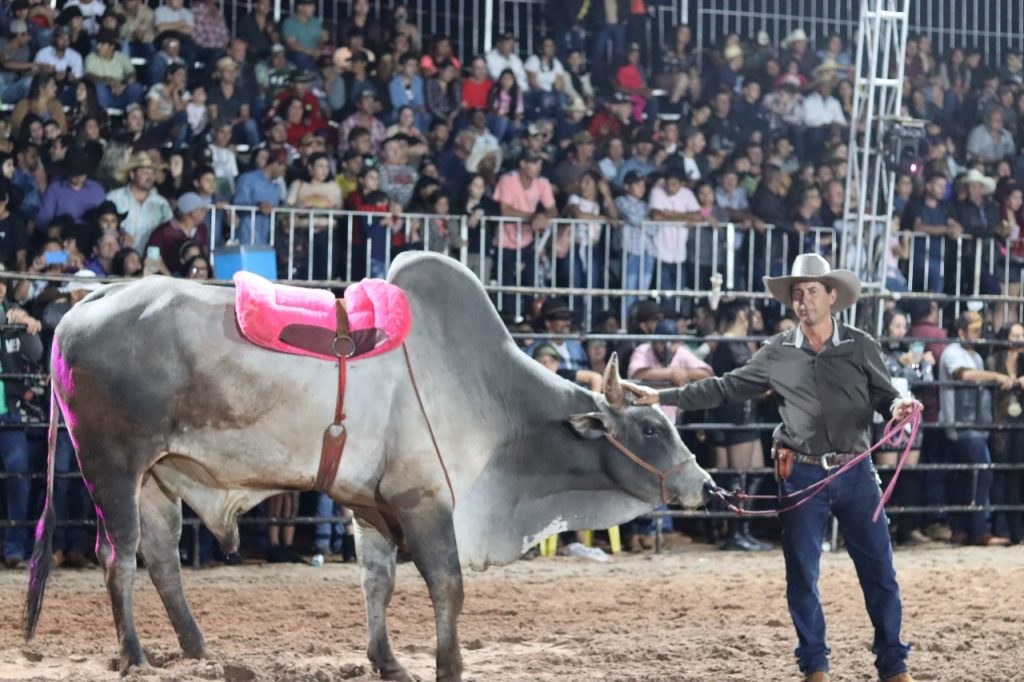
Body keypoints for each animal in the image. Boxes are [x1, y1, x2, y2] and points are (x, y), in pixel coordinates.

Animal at [24, 251, 712, 675]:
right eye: (651, 428)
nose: (701, 483)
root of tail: (80, 311)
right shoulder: (425, 500)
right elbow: (448, 584)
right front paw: (448, 666)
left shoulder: (369, 506)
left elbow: (376, 582)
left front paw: (388, 661)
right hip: (113, 466)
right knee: (117, 558)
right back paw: (136, 657)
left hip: (158, 477)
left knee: (162, 559)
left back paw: (199, 654)